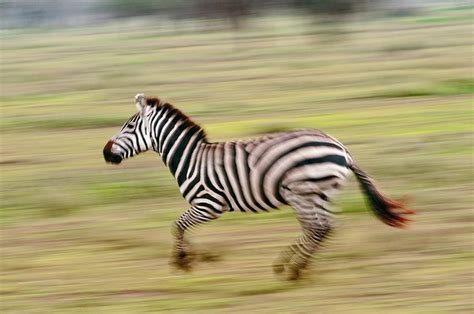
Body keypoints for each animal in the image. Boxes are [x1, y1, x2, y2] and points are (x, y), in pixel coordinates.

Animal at [102, 93, 412, 280]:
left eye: (129, 126)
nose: (105, 153)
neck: (190, 158)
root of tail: (342, 149)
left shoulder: (209, 204)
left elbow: (177, 226)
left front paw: (183, 261)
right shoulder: (204, 208)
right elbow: (182, 228)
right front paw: (202, 256)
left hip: (302, 192)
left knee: (316, 228)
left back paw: (293, 269)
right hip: (322, 192)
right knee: (323, 229)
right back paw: (291, 266)